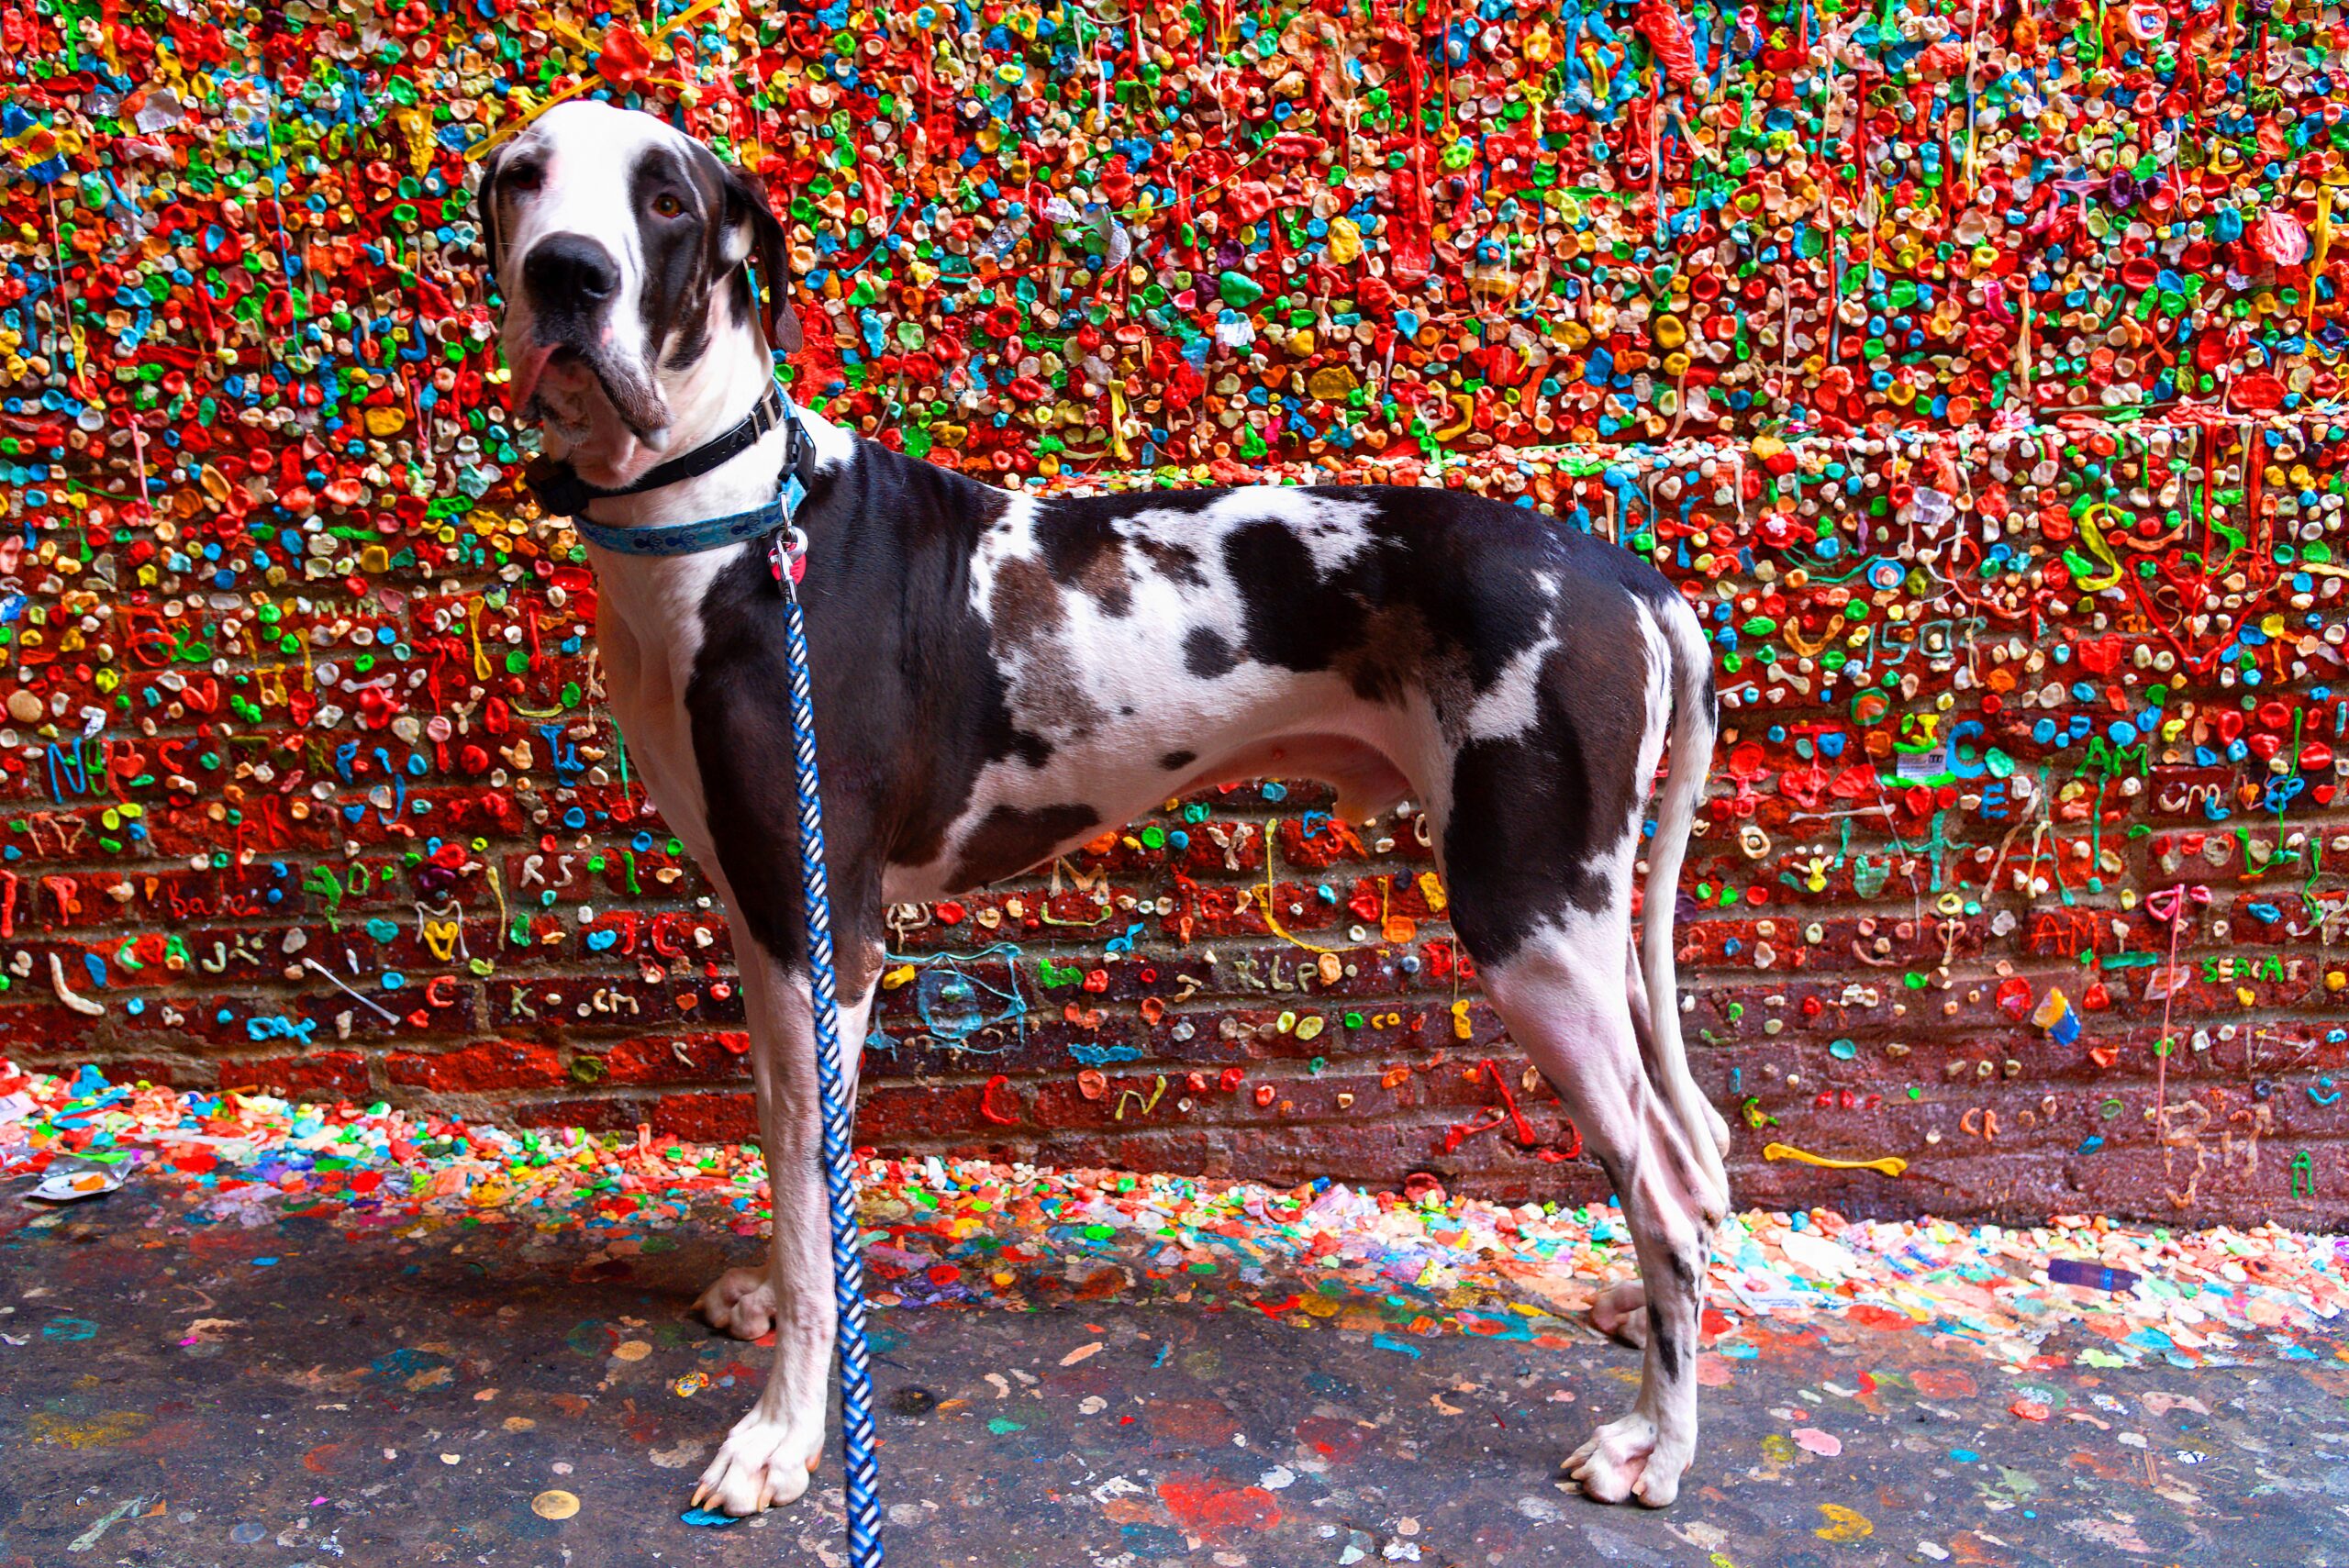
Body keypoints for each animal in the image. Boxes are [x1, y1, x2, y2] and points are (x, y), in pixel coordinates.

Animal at [476, 101, 1729, 1520]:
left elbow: (811, 1190)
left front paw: (782, 1431)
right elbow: (797, 1142)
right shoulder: (771, 921)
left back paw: (1656, 1441)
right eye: (520, 177)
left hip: (1531, 928)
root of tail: (1629, 576)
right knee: (1685, 1151)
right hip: (1592, 924)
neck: (723, 514)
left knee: (1665, 1195)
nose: (566, 273)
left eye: (668, 200)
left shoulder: (822, 929)